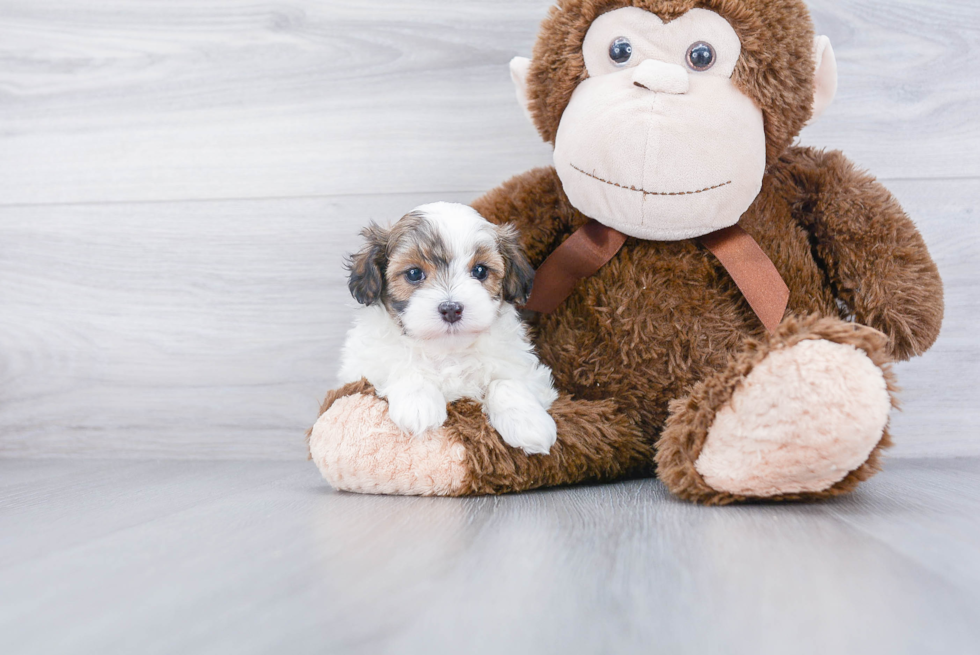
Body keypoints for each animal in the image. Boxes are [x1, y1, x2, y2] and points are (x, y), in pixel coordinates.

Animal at [340, 202, 560, 454]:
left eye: (480, 271)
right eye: (414, 273)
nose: (451, 309)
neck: (447, 351)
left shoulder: (528, 370)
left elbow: (505, 381)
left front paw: (529, 424)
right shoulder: (361, 369)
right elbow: (403, 364)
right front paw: (417, 403)